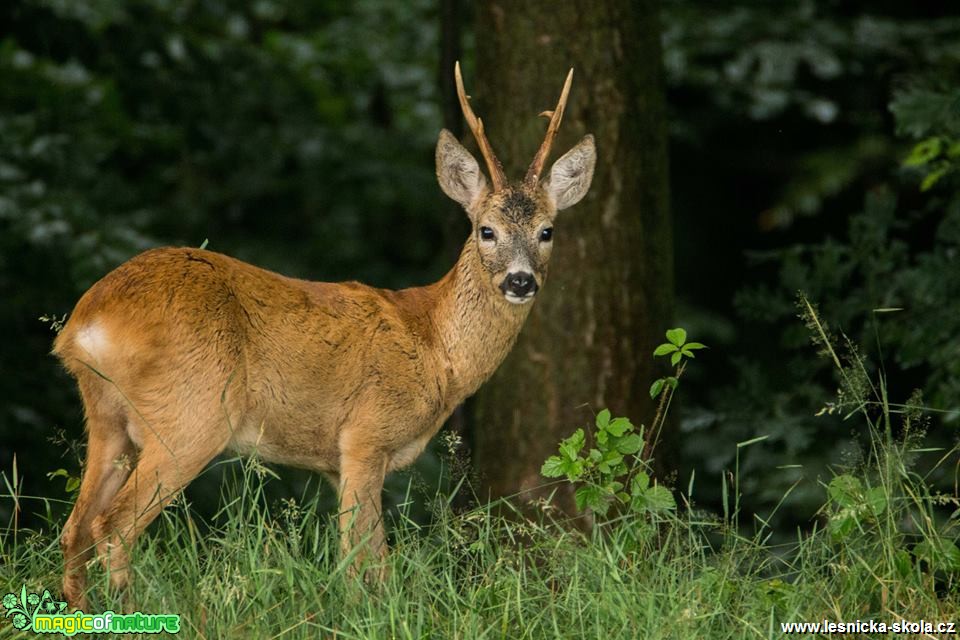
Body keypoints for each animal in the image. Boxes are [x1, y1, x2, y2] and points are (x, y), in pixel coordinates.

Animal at [56, 63, 592, 608]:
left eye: (546, 231)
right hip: (190, 417)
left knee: (74, 528)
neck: (436, 348)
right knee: (112, 526)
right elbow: (362, 563)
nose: (520, 281)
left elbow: (368, 558)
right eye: (486, 230)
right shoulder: (363, 436)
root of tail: (85, 323)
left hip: (108, 421)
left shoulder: (337, 462)